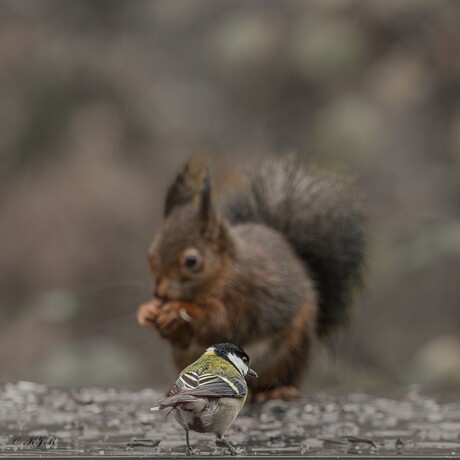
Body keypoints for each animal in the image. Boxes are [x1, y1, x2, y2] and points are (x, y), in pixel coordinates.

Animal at [137, 156, 366, 400]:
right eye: (150, 254)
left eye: (191, 260)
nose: (160, 294)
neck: (223, 271)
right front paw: (148, 311)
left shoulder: (242, 293)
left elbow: (219, 323)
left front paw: (176, 309)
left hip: (290, 351)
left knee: (275, 379)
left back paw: (275, 391)